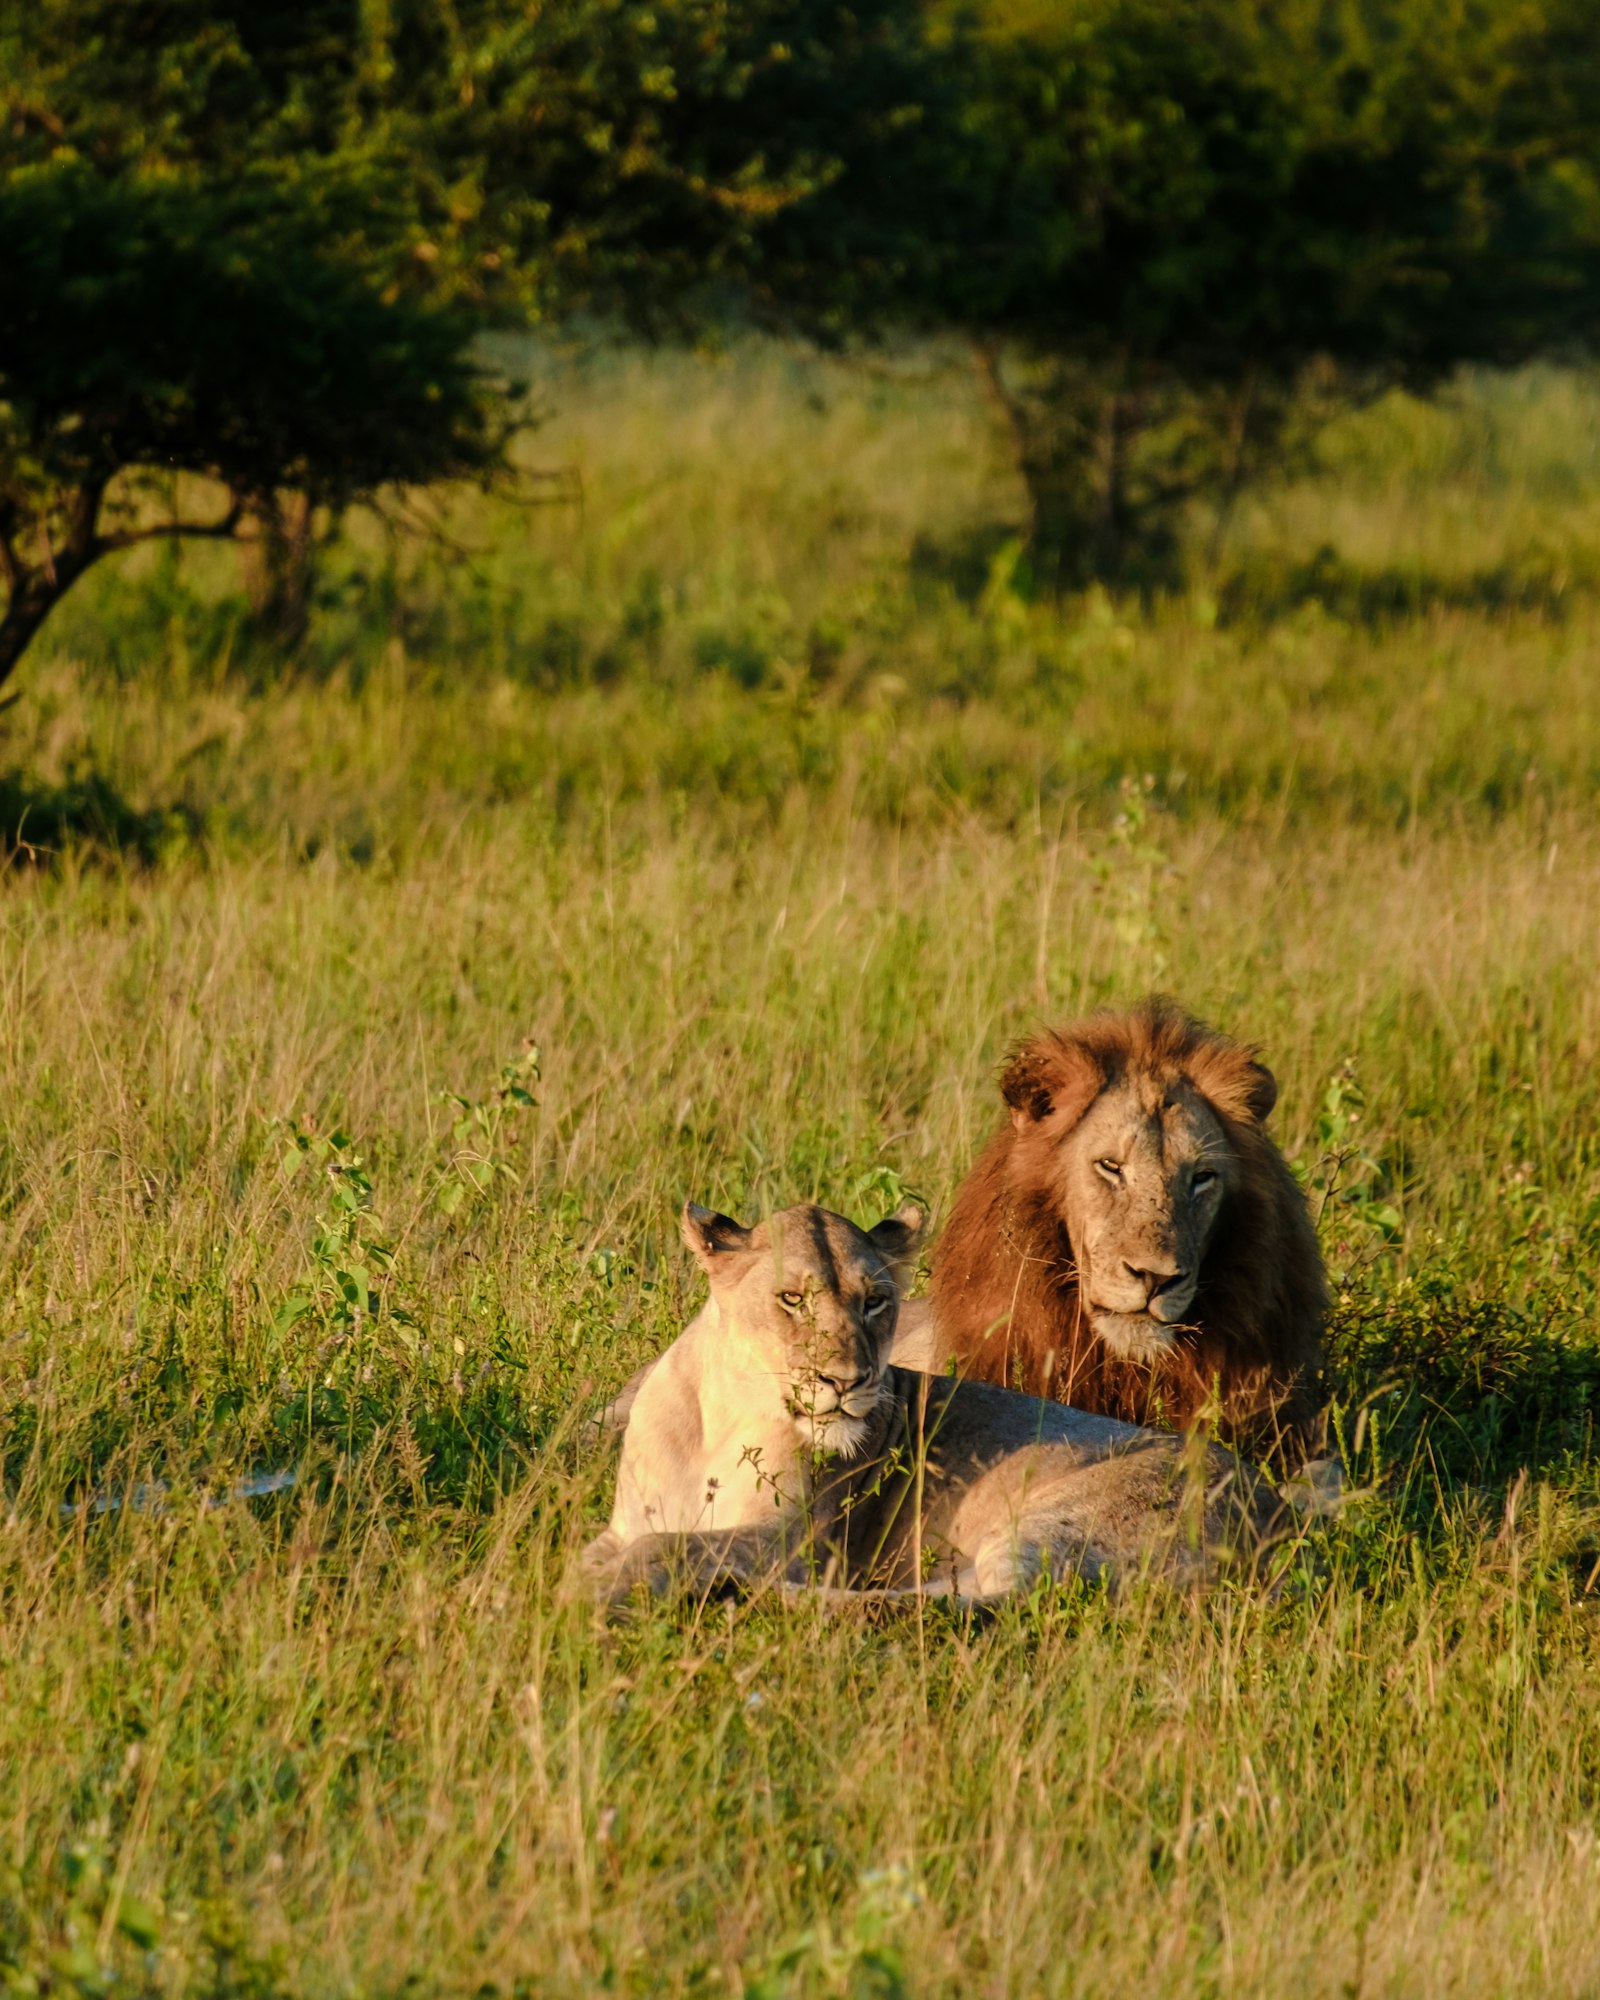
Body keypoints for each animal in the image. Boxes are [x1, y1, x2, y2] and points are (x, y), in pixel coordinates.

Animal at [580, 1192, 1288, 1600]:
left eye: (875, 1302)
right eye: (792, 1299)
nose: (849, 1380)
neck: (720, 1419)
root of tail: (1282, 1516)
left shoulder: (790, 1540)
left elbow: (672, 1546)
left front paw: (591, 1597)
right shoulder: (625, 1523)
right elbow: (604, 1548)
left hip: (1065, 1519)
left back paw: (757, 1596)